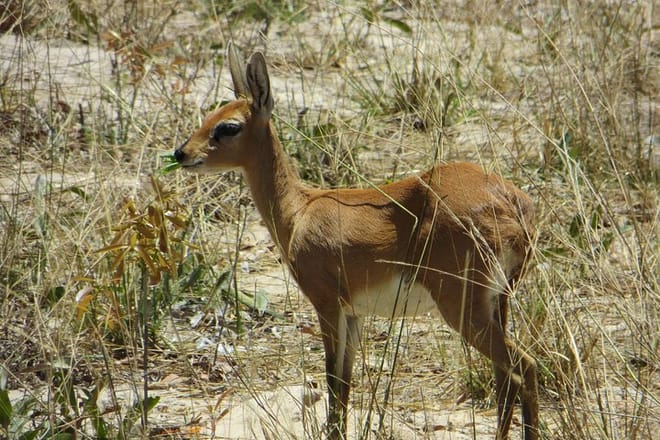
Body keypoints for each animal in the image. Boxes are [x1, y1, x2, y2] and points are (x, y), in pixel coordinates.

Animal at [173, 44, 539, 440]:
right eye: (210, 114)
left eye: (228, 126)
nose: (181, 153)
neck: (299, 209)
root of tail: (513, 204)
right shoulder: (353, 313)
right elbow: (346, 384)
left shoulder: (327, 305)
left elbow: (333, 381)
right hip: (497, 302)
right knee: (506, 377)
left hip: (461, 306)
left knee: (524, 365)